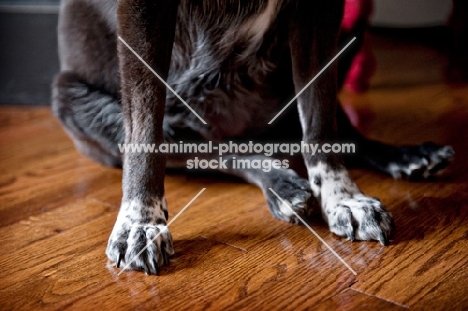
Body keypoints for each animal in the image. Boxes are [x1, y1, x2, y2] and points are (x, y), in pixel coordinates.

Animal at [51, 0, 454, 276]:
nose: (139, 221)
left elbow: (320, 122)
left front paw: (344, 198)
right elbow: (146, 135)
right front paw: (139, 222)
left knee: (333, 130)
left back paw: (407, 156)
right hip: (72, 98)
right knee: (210, 150)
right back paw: (282, 184)